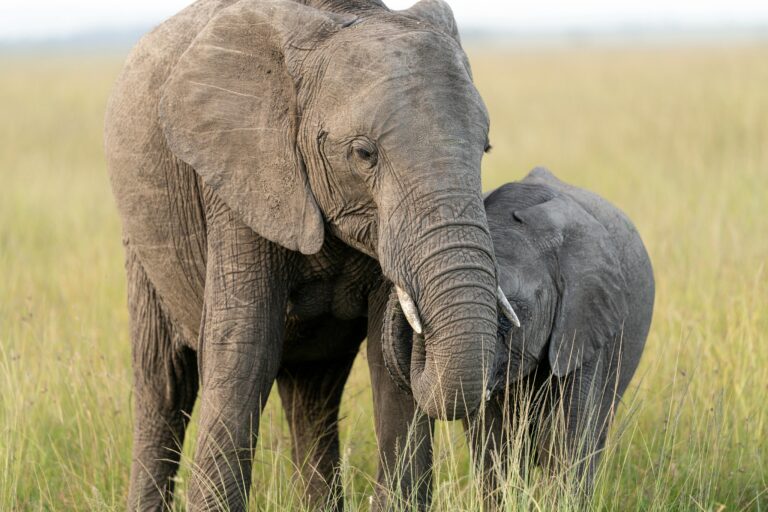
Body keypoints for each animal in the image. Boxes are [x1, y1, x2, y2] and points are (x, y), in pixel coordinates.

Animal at [104, 0, 514, 509]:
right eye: (363, 153)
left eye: (485, 148)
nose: (414, 310)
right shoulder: (241, 176)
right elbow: (244, 350)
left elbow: (388, 372)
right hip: (141, 243)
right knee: (164, 385)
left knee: (313, 395)